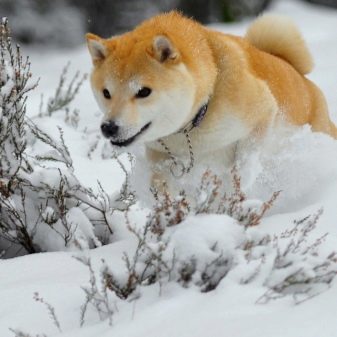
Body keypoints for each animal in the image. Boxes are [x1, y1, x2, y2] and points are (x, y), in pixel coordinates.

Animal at [84, 11, 336, 184]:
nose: (109, 127)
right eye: (106, 93)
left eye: (143, 92)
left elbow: (244, 162)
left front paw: (238, 189)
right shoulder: (160, 154)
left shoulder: (264, 111)